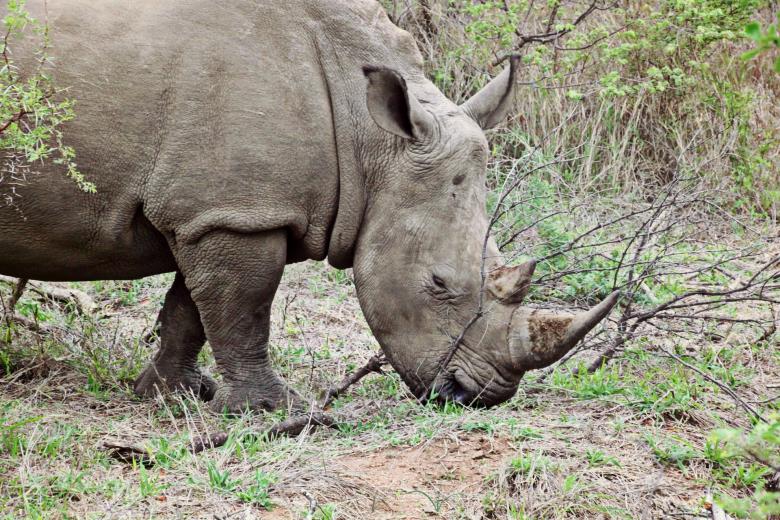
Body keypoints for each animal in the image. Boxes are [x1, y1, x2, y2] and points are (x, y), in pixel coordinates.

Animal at [0, 0, 618, 412]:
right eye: (439, 283)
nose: (480, 396)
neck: (371, 135)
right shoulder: (238, 213)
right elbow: (244, 307)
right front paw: (274, 412)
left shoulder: (217, 209)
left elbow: (190, 309)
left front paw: (172, 395)